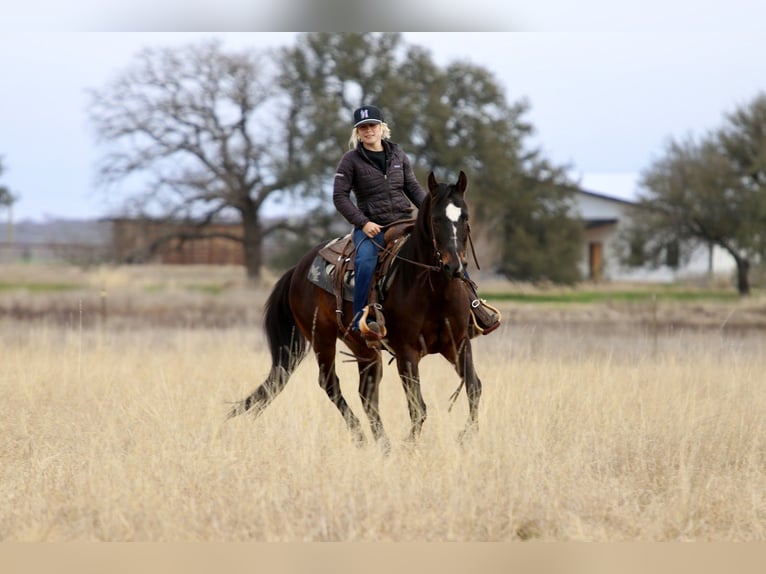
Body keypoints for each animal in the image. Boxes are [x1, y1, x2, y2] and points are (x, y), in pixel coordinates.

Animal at [227, 170, 483, 450]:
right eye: (436, 219)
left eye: (465, 217)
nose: (455, 267)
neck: (433, 291)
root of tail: (298, 269)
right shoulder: (407, 352)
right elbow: (418, 406)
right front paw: (409, 446)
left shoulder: (458, 343)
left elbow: (474, 387)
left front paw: (466, 437)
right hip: (322, 338)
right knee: (330, 384)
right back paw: (362, 437)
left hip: (362, 346)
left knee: (367, 393)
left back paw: (382, 443)